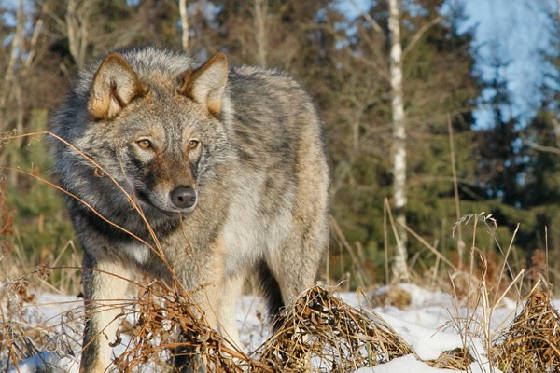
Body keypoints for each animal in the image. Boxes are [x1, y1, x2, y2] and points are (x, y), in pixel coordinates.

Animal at [49, 45, 328, 370]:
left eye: (192, 144)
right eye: (145, 143)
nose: (186, 196)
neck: (141, 223)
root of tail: (293, 85)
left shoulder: (194, 277)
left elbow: (194, 350)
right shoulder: (103, 266)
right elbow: (94, 353)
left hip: (289, 275)